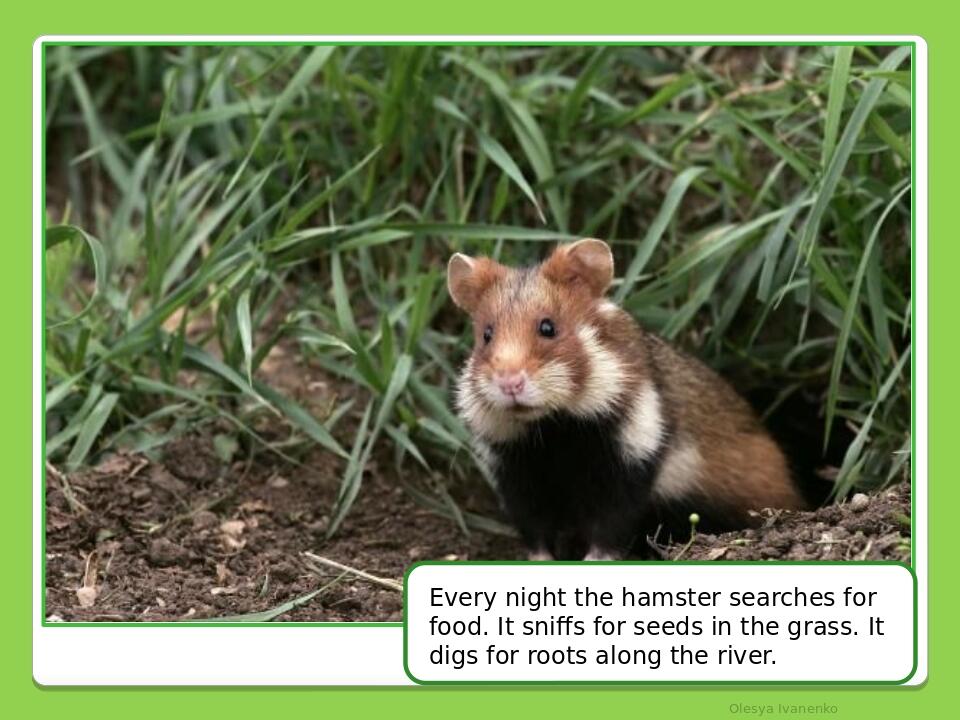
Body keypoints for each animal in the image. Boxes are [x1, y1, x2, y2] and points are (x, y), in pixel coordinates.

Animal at [447, 238, 806, 561]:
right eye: (486, 335)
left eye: (548, 327)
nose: (509, 383)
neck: (556, 429)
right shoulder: (515, 471)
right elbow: (535, 530)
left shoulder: (631, 459)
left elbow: (611, 527)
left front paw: (595, 560)